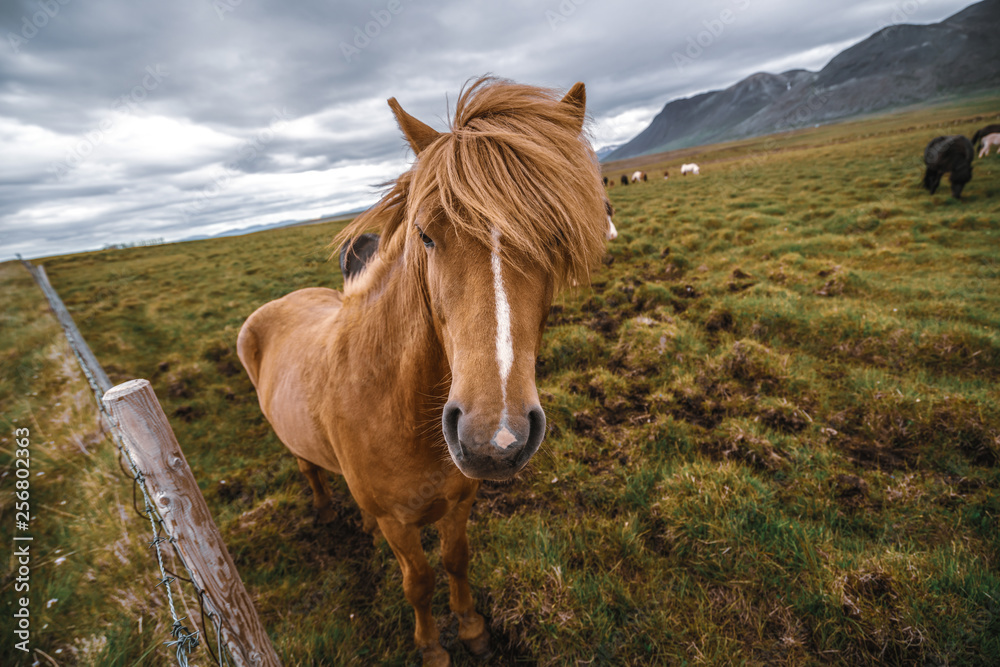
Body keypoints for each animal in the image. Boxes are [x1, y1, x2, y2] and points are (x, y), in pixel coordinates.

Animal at [236, 75, 608, 664]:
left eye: (554, 238)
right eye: (427, 235)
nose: (495, 438)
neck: (395, 404)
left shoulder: (461, 499)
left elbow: (456, 561)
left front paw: (473, 629)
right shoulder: (400, 524)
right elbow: (419, 582)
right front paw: (432, 648)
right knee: (307, 468)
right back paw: (325, 512)